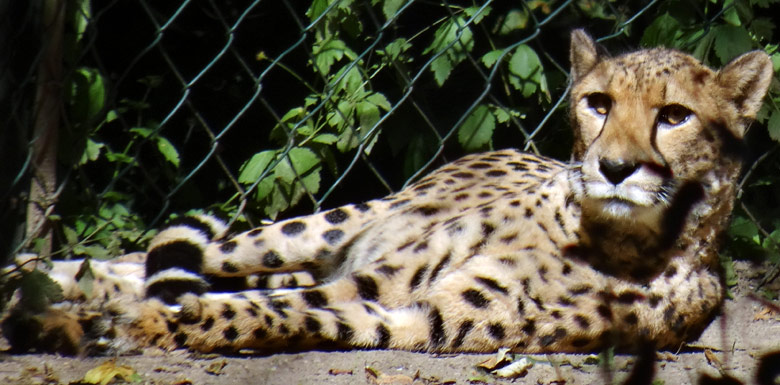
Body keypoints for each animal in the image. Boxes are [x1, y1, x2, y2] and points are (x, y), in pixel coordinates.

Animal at [3, 30, 772, 354]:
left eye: (674, 116)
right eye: (598, 103)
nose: (612, 168)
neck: (607, 233)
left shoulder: (427, 315)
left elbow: (290, 313)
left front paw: (155, 323)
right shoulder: (381, 273)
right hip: (318, 228)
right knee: (143, 261)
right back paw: (40, 281)